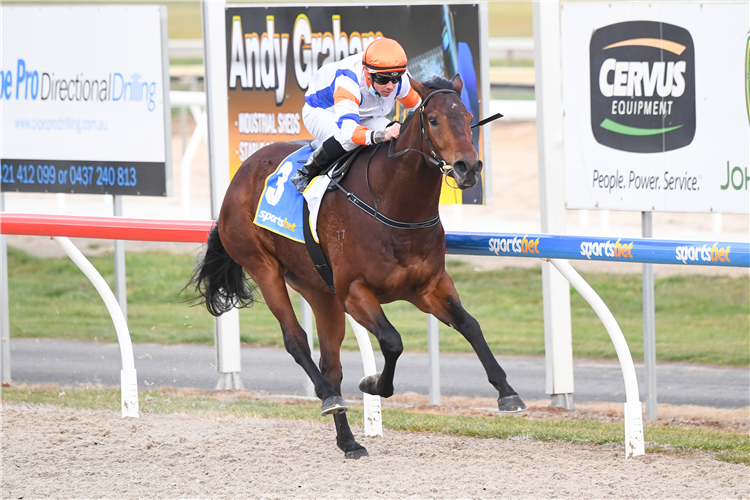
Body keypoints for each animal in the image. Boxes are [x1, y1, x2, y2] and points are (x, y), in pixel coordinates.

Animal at [188, 74, 528, 458]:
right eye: (434, 119)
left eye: (468, 115)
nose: (468, 167)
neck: (394, 206)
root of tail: (242, 171)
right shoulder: (354, 293)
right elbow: (392, 341)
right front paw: (374, 383)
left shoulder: (429, 287)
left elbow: (470, 325)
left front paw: (507, 393)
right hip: (263, 267)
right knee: (296, 341)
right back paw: (329, 398)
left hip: (319, 289)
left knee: (330, 363)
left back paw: (348, 441)